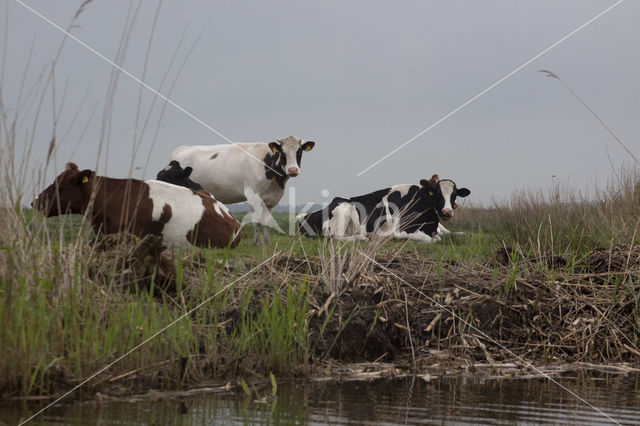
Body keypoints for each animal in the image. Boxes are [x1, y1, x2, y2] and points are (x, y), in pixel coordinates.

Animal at [170, 135, 316, 245]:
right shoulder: (253, 197)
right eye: (282, 153)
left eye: (299, 152)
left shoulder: (271, 199)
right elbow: (256, 221)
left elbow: (267, 221)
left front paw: (267, 243)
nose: (293, 170)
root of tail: (182, 149)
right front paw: (256, 244)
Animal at [296, 174, 470, 243]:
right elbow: (431, 240)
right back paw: (364, 238)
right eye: (437, 194)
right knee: (335, 237)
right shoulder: (402, 230)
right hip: (345, 210)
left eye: (454, 195)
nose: (447, 211)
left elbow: (438, 237)